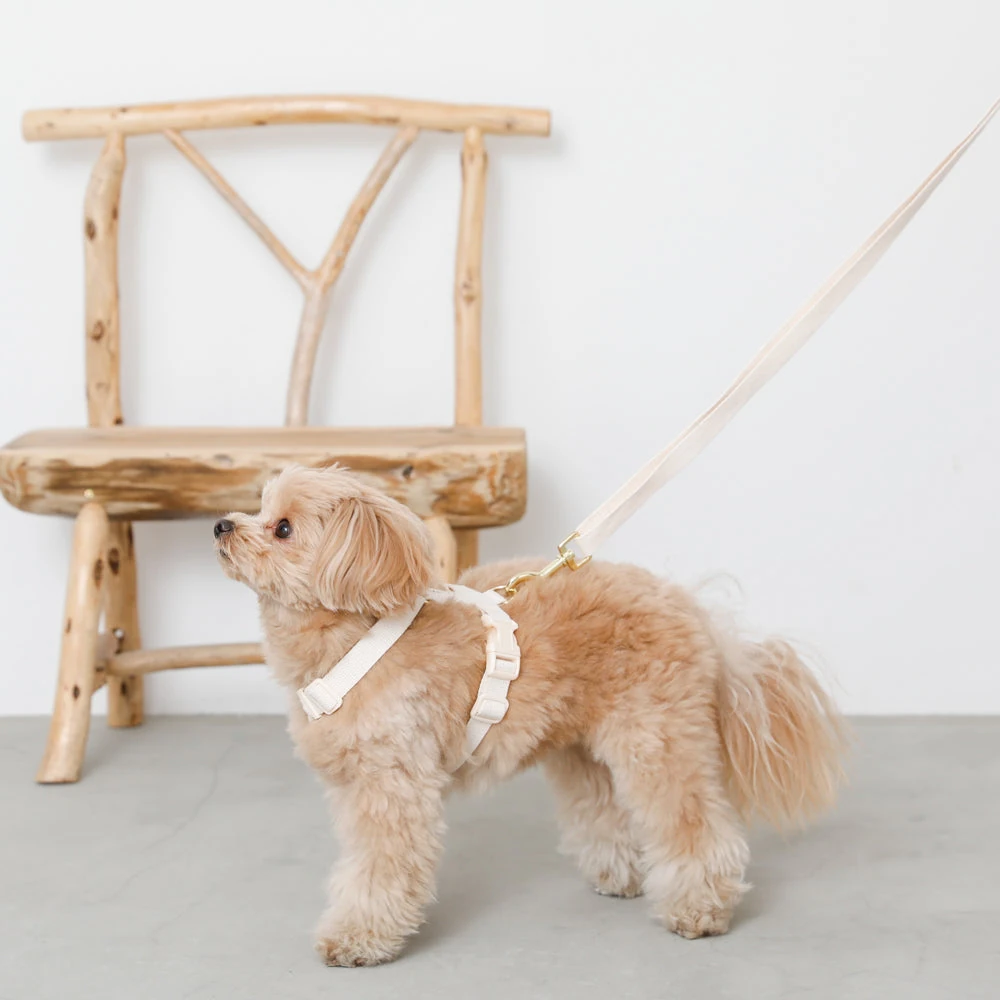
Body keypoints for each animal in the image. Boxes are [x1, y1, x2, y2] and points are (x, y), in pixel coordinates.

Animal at [214, 463, 845, 966]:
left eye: (283, 527)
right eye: (258, 508)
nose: (221, 525)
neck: (354, 637)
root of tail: (690, 606)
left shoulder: (391, 787)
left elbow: (380, 869)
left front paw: (358, 938)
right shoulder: (355, 786)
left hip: (658, 739)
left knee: (693, 824)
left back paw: (699, 908)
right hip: (582, 749)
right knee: (603, 810)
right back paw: (620, 876)